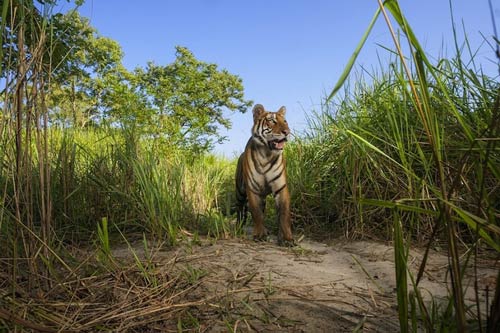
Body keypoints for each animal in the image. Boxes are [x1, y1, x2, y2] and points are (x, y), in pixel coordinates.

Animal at [236, 104, 294, 246]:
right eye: (272, 121)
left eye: (285, 121)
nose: (287, 132)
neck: (266, 155)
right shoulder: (253, 189)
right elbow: (256, 213)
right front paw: (259, 235)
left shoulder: (281, 188)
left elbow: (284, 215)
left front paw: (286, 238)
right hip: (240, 191)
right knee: (239, 209)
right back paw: (238, 228)